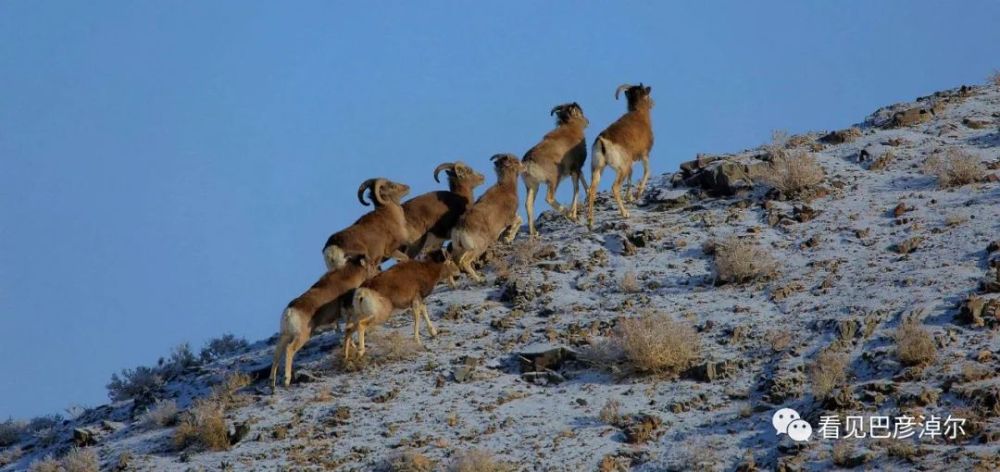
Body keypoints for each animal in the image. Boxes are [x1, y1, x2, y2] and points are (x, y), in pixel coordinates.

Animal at [448, 153, 524, 282]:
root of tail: (460, 229)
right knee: (465, 262)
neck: (506, 188)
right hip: (478, 247)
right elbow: (519, 220)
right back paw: (479, 279)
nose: (524, 166)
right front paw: (508, 238)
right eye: (516, 162)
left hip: (460, 249)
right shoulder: (510, 218)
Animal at [520, 103, 588, 236]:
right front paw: (574, 215)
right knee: (549, 198)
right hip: (554, 180)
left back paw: (534, 233)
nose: (587, 121)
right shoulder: (576, 169)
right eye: (580, 113)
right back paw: (570, 216)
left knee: (528, 204)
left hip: (532, 186)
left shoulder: (578, 170)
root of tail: (528, 162)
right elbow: (576, 189)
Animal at [584, 84, 656, 230]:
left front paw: (630, 197)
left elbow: (631, 177)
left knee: (592, 189)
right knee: (615, 188)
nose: (653, 103)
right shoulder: (644, 155)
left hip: (598, 169)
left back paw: (590, 221)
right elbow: (647, 171)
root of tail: (602, 141)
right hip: (620, 169)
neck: (639, 114)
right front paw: (637, 194)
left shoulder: (631, 163)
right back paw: (625, 214)